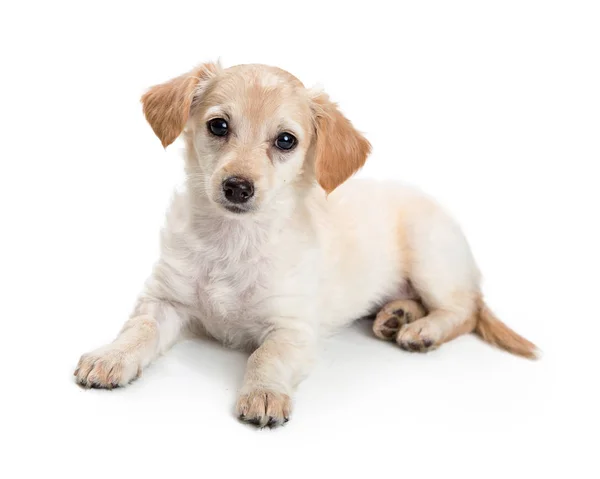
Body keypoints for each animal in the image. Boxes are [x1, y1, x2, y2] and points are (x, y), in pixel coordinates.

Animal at [72, 62, 536, 428]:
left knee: (465, 310)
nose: (237, 187)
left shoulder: (291, 328)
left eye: (285, 141)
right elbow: (139, 329)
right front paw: (111, 356)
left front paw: (263, 394)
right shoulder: (164, 300)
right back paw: (396, 315)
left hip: (430, 257)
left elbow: (265, 356)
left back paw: (422, 329)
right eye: (218, 125)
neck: (233, 239)